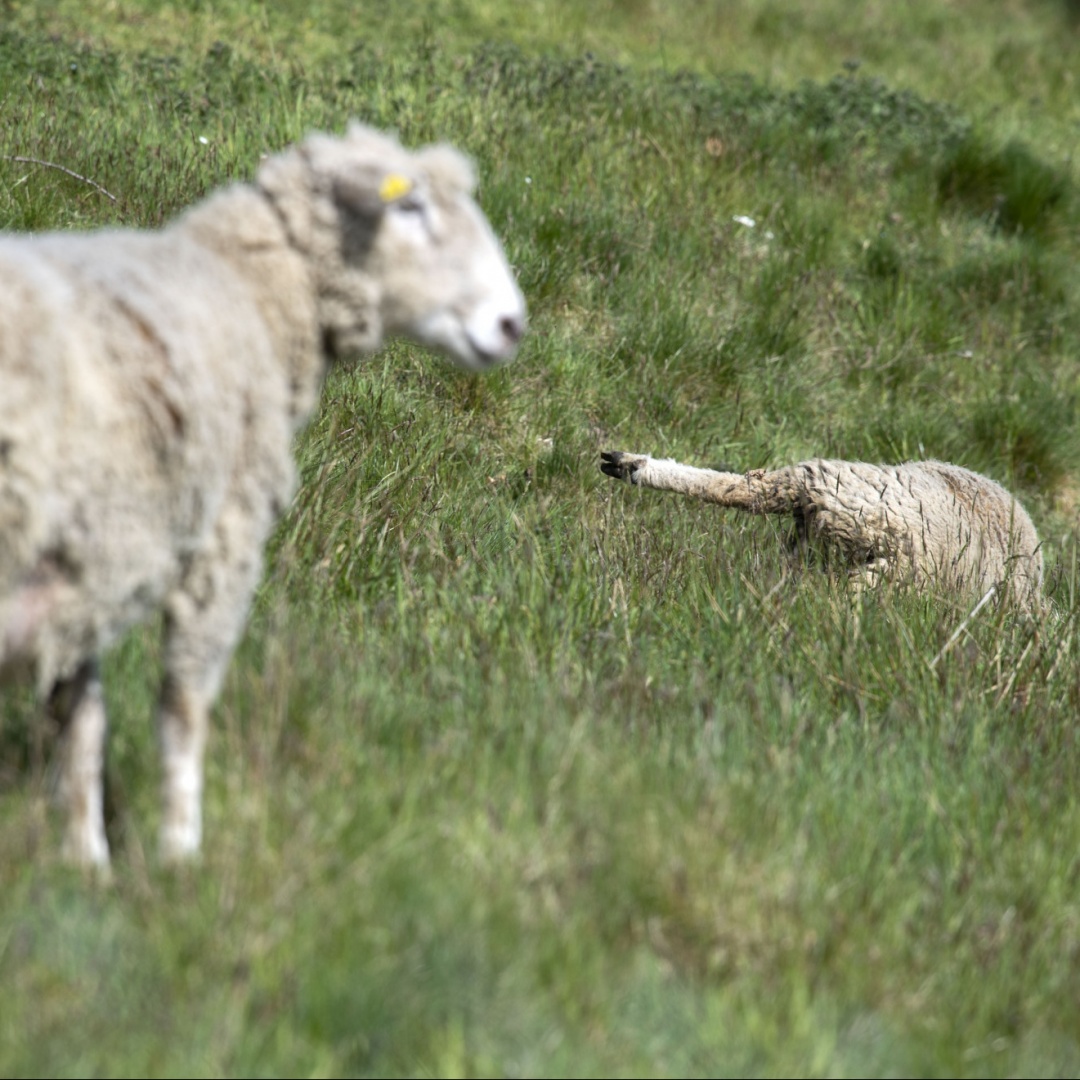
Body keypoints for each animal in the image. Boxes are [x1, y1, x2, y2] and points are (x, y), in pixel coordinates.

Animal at [0, 122, 527, 864]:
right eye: (410, 207)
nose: (512, 324)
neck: (250, 290)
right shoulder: (222, 540)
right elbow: (182, 708)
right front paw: (179, 853)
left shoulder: (88, 560)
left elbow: (79, 716)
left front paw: (85, 858)